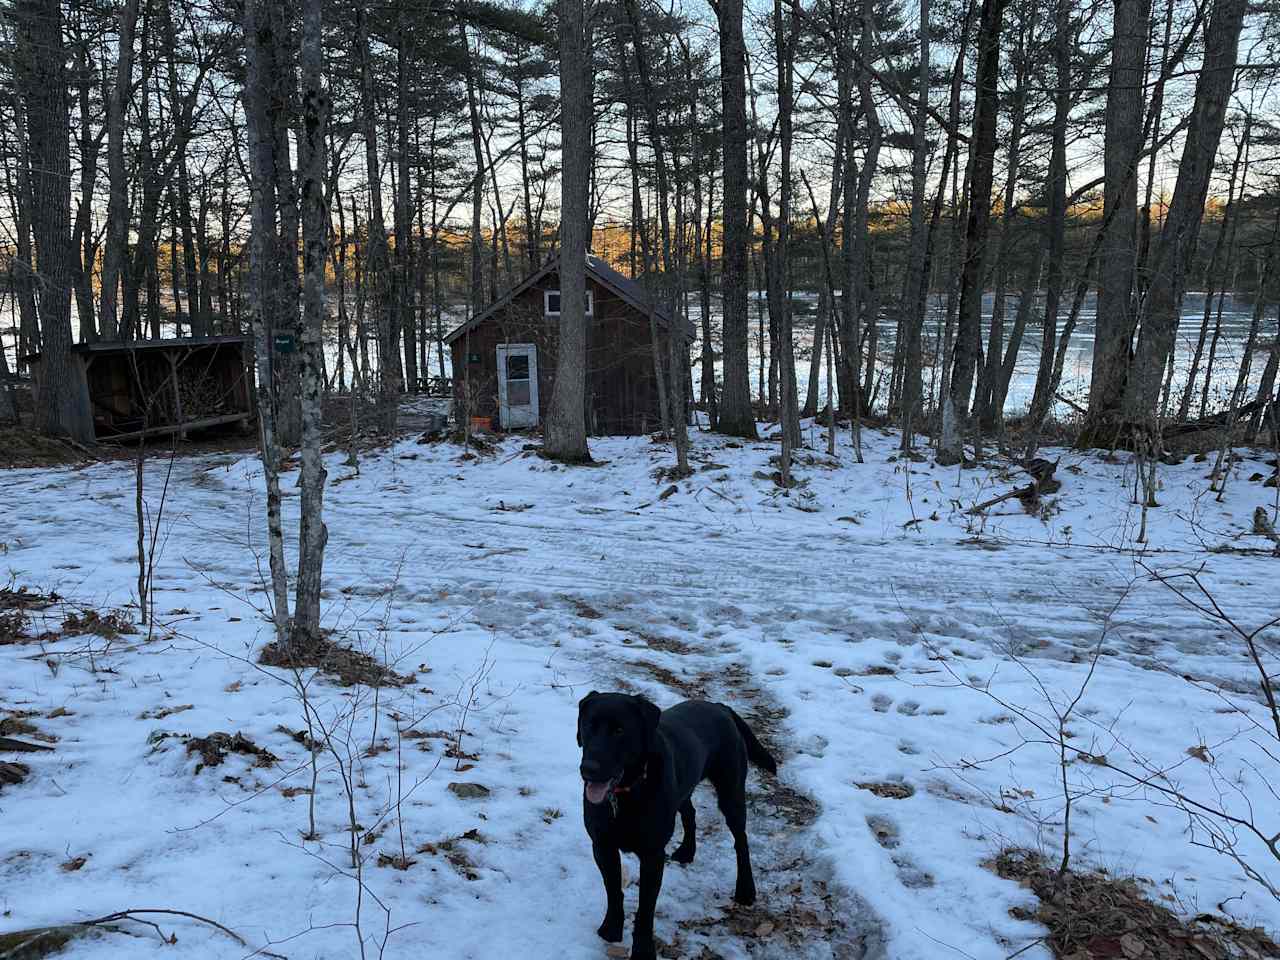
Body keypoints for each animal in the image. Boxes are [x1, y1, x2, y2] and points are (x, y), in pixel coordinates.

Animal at [576, 691, 773, 960]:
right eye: (588, 726)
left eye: (619, 730)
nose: (589, 769)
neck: (628, 791)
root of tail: (720, 707)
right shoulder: (602, 845)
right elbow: (613, 889)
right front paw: (611, 928)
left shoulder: (652, 855)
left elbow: (646, 907)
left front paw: (643, 950)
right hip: (683, 788)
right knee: (690, 813)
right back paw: (687, 851)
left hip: (731, 791)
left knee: (740, 839)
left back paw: (745, 888)